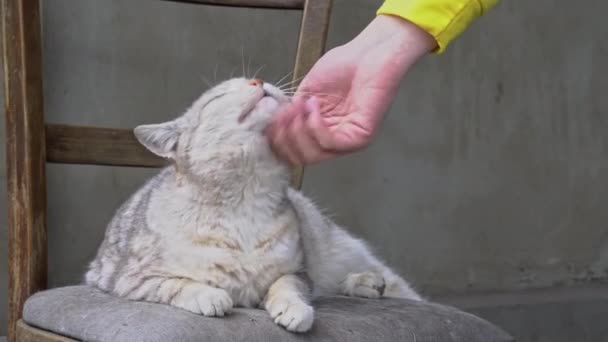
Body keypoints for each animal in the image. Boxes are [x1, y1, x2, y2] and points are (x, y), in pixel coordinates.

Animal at [84, 77, 422, 332]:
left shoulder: (297, 271)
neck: (244, 201)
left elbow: (288, 287)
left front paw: (294, 309)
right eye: (218, 96)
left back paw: (366, 282)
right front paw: (209, 295)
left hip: (341, 250)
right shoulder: (128, 279)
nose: (256, 80)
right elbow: (176, 284)